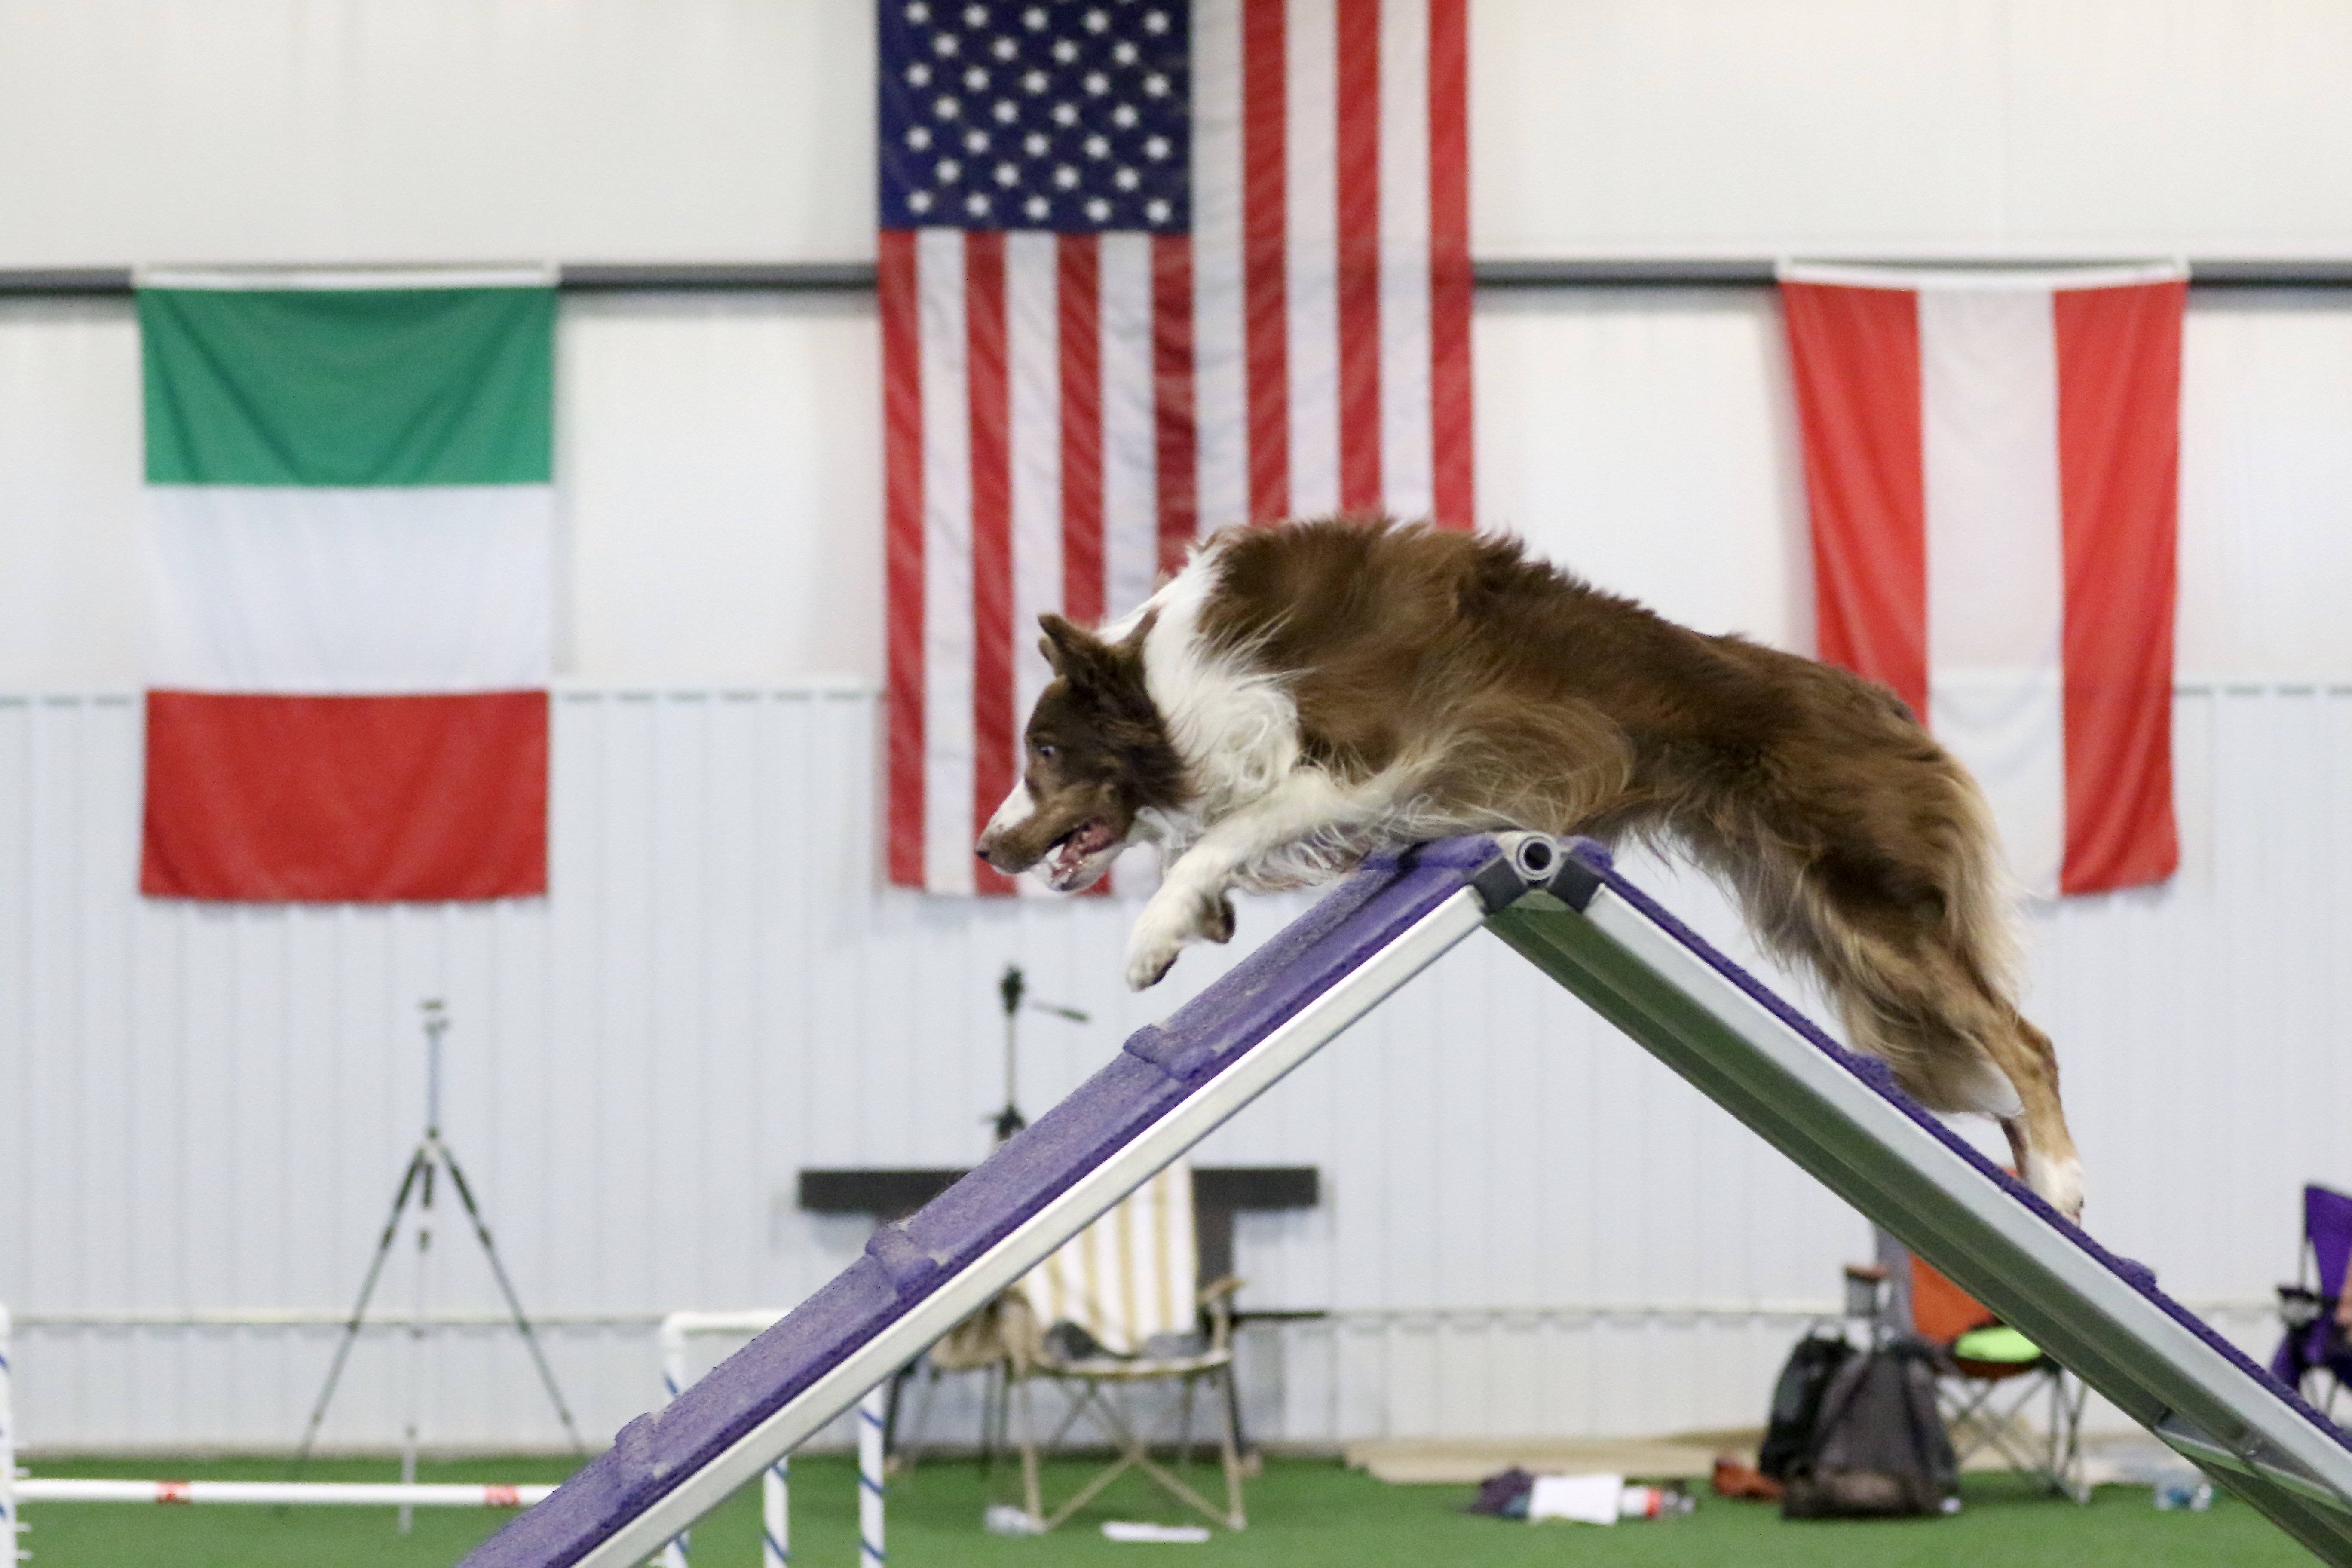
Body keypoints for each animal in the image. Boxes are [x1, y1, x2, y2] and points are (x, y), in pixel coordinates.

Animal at [975, 517, 2083, 1219]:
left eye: (1045, 750)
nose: (985, 847)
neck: (1173, 677)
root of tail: (1888, 708)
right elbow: (1208, 832)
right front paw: (1201, 916)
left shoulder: (1376, 755)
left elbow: (1222, 828)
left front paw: (1155, 936)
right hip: (1820, 917)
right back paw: (2032, 1179)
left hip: (1875, 905)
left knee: (2026, 1040)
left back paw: (2063, 1183)